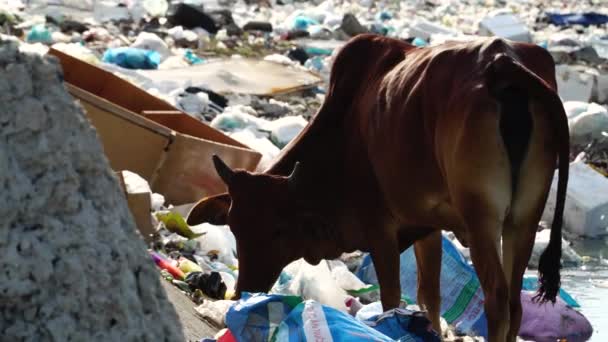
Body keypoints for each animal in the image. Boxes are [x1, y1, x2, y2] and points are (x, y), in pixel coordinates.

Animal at [188, 32, 568, 342]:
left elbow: (391, 299)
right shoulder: (428, 225)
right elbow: (429, 296)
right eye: (236, 227)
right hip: (523, 219)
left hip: (481, 219)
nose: (245, 291)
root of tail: (503, 64)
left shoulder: (380, 228)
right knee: (515, 304)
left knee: (497, 299)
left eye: (279, 231)